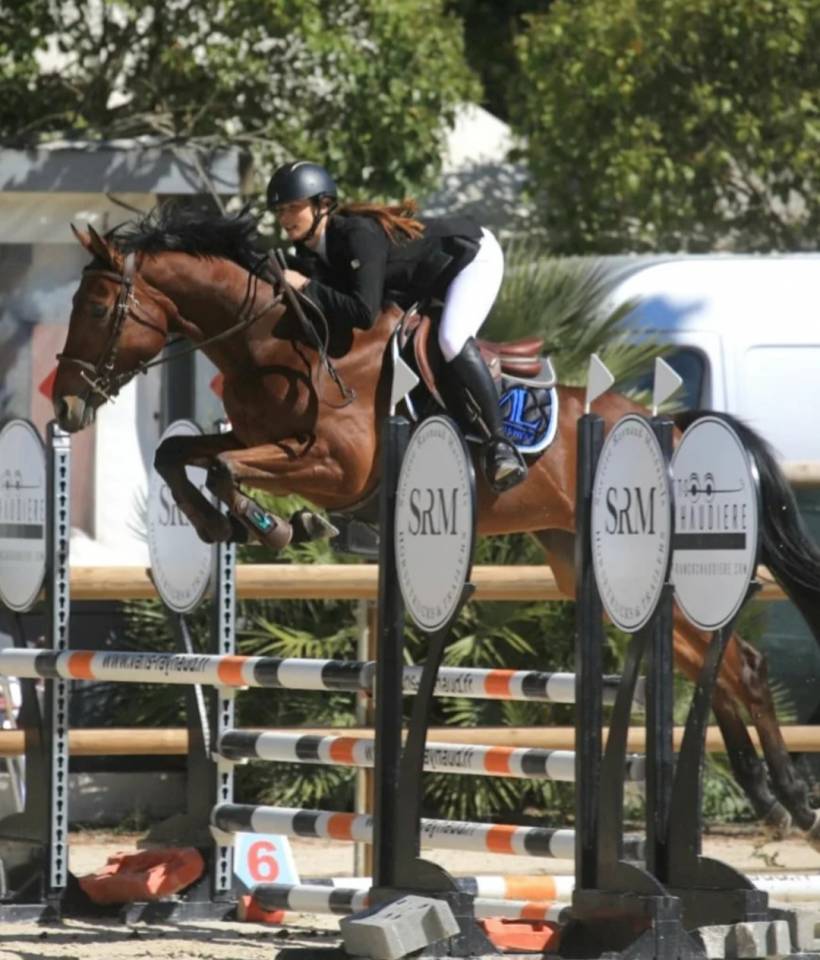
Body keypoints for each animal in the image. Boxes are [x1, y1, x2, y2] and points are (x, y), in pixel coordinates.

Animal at [53, 206, 820, 850]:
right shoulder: (258, 438)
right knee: (711, 664)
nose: (62, 406)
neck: (278, 340)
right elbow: (180, 455)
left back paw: (790, 798)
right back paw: (766, 796)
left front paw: (271, 522)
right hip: (587, 567)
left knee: (742, 665)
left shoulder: (334, 465)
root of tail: (673, 422)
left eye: (97, 306)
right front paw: (233, 522)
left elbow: (222, 464)